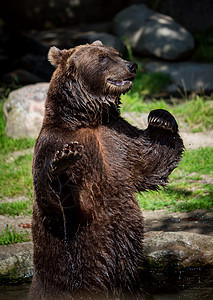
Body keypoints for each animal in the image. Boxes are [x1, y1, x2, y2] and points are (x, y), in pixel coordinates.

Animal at [30, 40, 184, 300]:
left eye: (117, 54)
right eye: (101, 58)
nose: (132, 65)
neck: (87, 120)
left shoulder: (118, 140)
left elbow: (150, 162)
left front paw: (161, 118)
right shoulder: (52, 143)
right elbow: (55, 205)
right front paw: (61, 165)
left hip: (131, 285)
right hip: (62, 280)